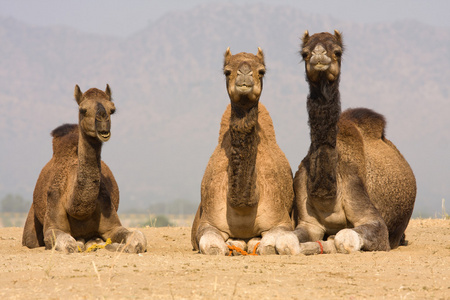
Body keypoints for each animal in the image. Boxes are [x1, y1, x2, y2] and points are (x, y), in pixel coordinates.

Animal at [22, 84, 146, 253]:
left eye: (112, 109)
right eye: (83, 110)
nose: (103, 122)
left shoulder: (112, 224)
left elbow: (138, 238)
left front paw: (114, 246)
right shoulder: (52, 224)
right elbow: (70, 244)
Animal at [190, 47, 298, 255]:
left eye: (262, 71)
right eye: (227, 71)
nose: (245, 74)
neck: (243, 207)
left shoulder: (281, 221)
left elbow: (268, 246)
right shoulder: (208, 223)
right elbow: (213, 246)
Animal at [294, 30, 416, 254]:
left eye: (337, 51)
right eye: (305, 53)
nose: (318, 55)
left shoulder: (370, 214)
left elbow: (343, 236)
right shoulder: (308, 223)